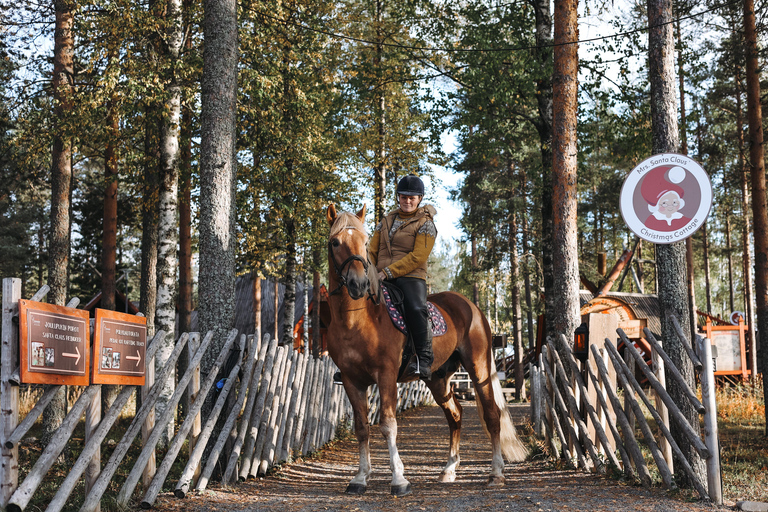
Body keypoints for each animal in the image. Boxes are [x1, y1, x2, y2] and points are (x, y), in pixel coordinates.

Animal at [324, 204, 528, 496]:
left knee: (492, 415)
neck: (358, 319)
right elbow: (362, 428)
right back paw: (449, 470)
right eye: (335, 242)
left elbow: (388, 425)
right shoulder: (352, 381)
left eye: (364, 242)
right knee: (455, 414)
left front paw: (399, 479)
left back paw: (496, 473)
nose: (358, 284)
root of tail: (471, 307)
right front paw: (360, 478)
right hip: (438, 379)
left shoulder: (386, 377)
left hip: (479, 369)